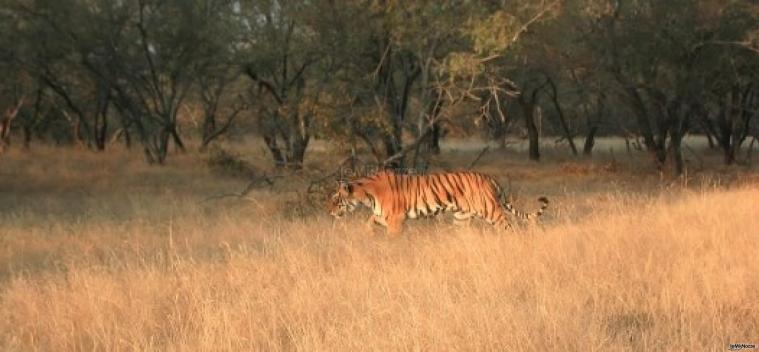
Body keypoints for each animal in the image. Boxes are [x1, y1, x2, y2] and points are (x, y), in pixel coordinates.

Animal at [326, 170, 548, 235]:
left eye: (336, 199)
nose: (329, 212)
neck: (365, 195)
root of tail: (488, 177)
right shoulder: (383, 216)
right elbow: (368, 222)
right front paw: (367, 236)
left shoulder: (395, 220)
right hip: (461, 218)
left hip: (491, 211)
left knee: (509, 227)